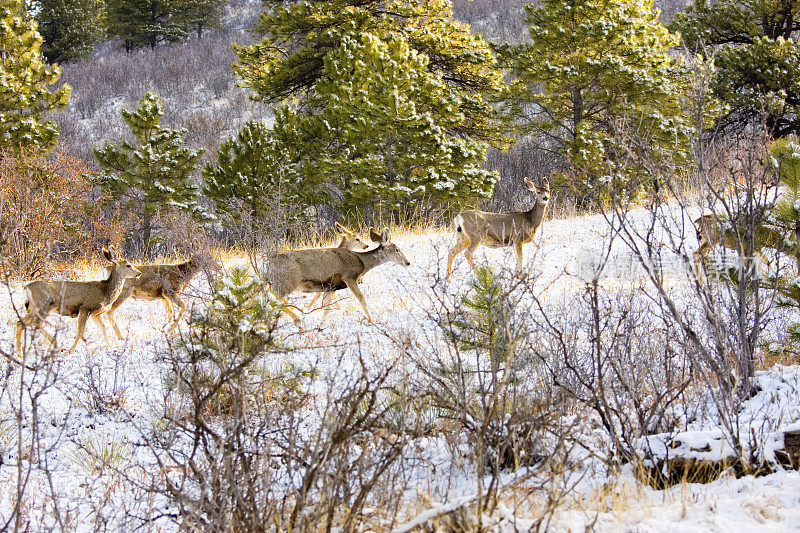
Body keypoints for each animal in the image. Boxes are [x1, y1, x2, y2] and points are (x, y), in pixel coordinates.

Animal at [266, 227, 410, 322]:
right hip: (286, 282)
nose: (407, 262)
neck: (362, 263)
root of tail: (269, 261)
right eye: (397, 250)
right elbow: (361, 298)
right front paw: (371, 321)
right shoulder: (348, 277)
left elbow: (327, 309)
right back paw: (297, 321)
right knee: (273, 300)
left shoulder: (330, 286)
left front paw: (320, 328)